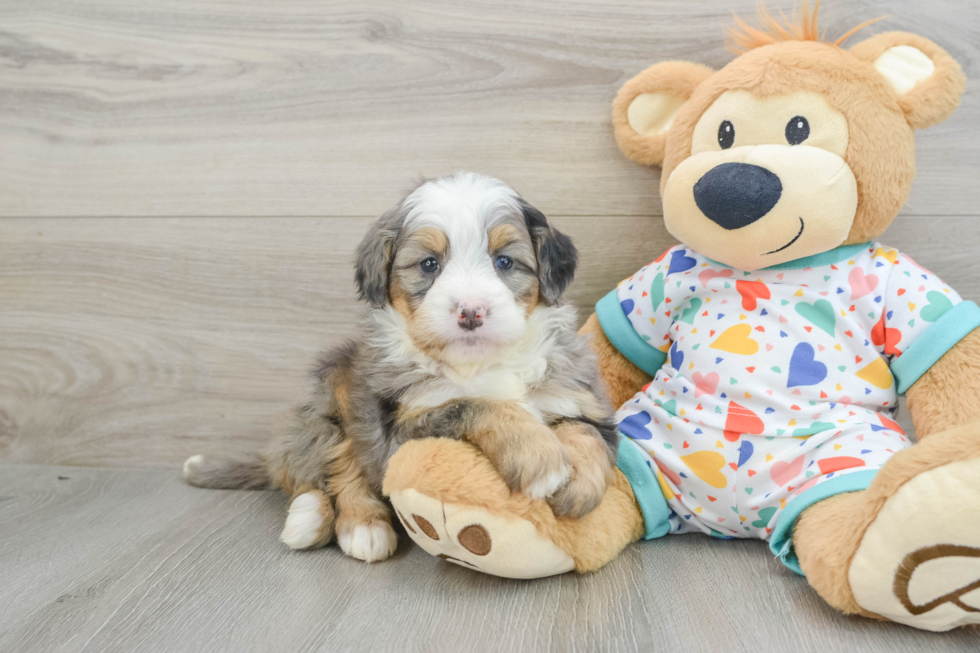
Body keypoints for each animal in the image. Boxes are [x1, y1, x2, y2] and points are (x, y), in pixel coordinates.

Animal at [183, 172, 612, 560]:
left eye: (504, 261)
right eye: (429, 264)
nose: (470, 311)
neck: (478, 365)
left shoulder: (573, 391)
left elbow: (585, 431)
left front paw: (581, 486)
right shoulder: (400, 433)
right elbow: (476, 404)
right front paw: (539, 458)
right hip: (332, 392)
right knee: (324, 467)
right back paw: (340, 523)